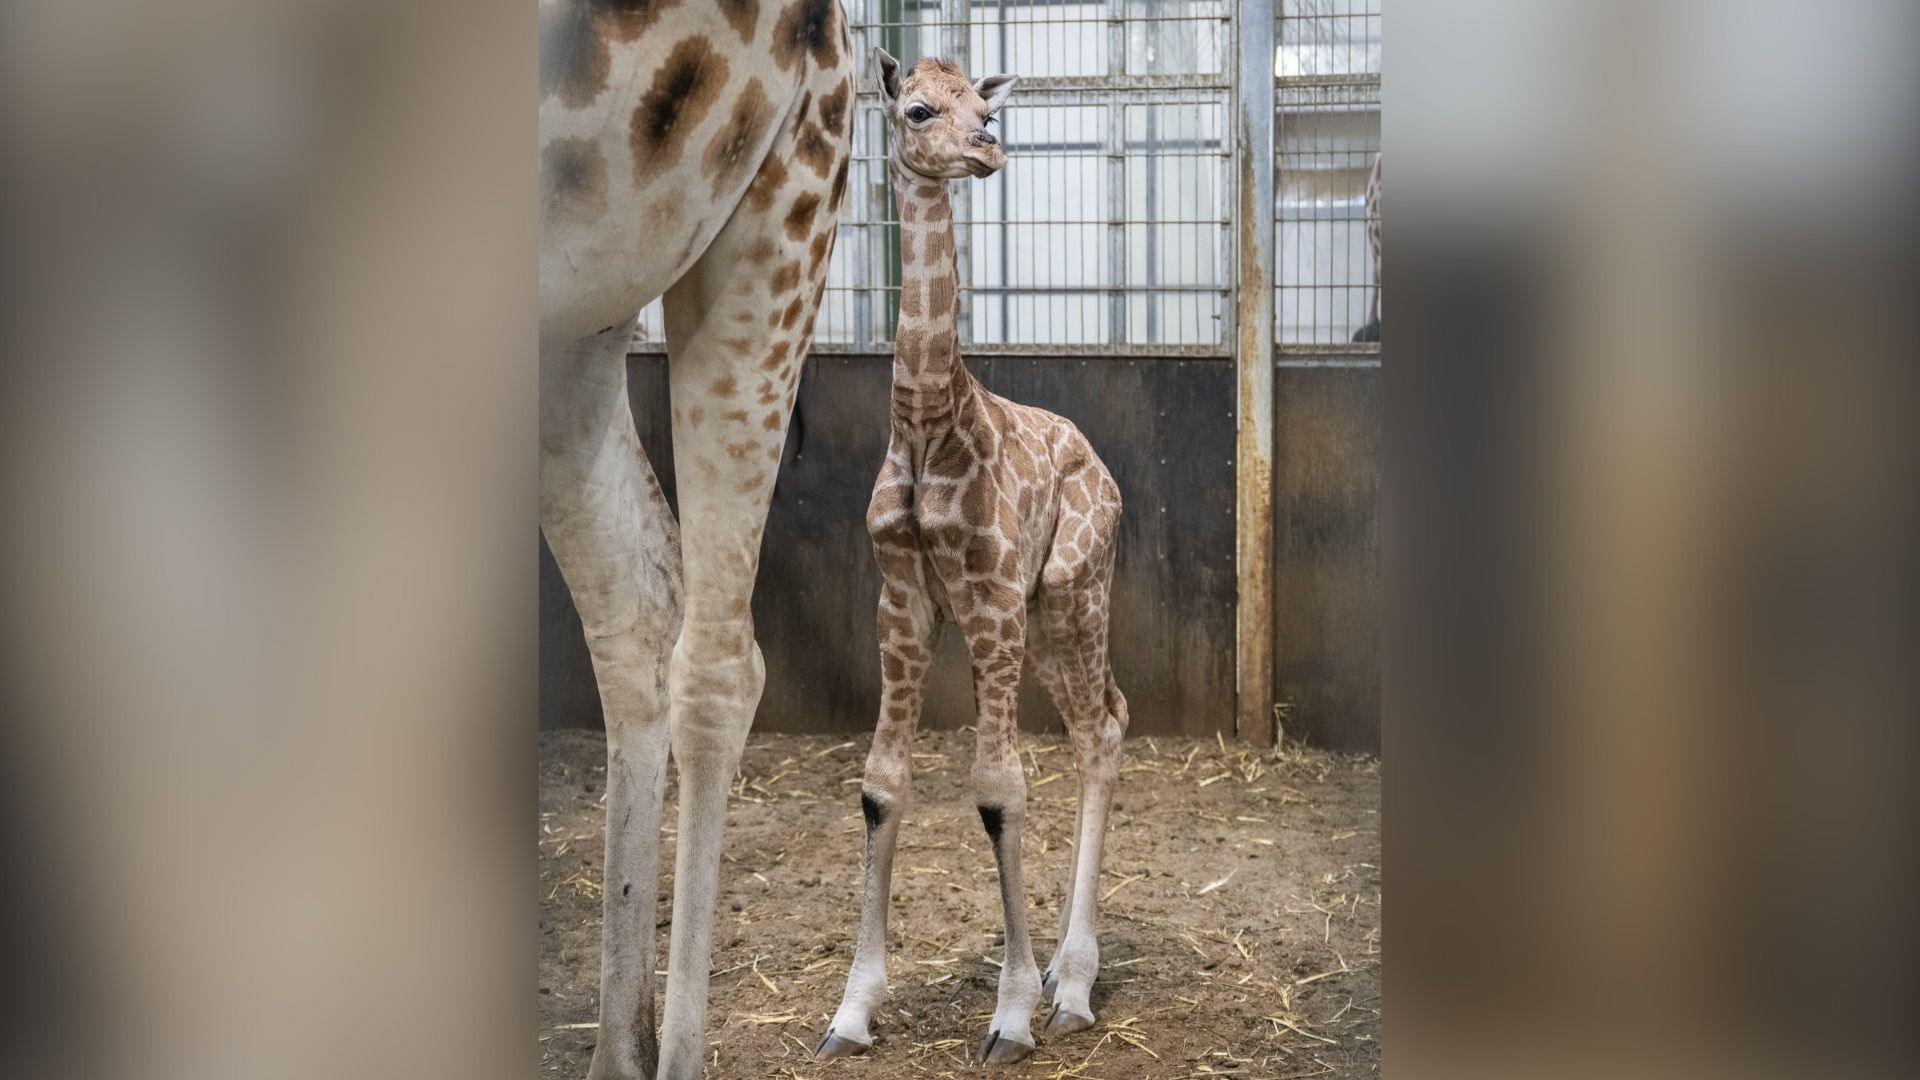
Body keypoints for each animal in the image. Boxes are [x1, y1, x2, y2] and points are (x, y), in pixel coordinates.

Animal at [815, 50, 1130, 1067]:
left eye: (979, 108)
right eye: (919, 109)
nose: (990, 147)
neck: (924, 428)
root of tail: (1103, 466)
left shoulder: (988, 596)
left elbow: (998, 790)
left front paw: (1012, 1014)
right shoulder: (905, 599)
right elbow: (881, 786)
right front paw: (851, 1013)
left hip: (1071, 593)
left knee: (1099, 730)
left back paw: (1073, 987)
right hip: (1045, 619)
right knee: (1107, 720)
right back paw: (1066, 972)